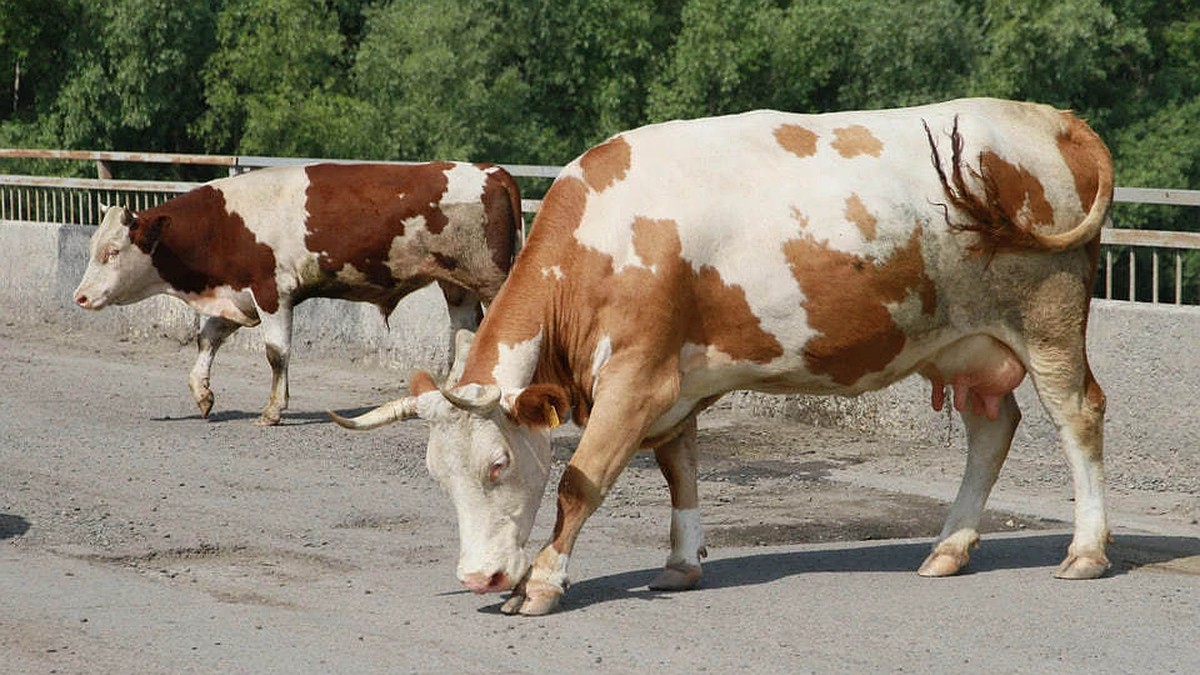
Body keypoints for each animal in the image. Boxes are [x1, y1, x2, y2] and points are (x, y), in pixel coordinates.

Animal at [75, 160, 520, 422]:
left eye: (112, 251)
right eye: (93, 245)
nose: (80, 296)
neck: (225, 223)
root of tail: (492, 171)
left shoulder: (272, 292)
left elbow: (277, 354)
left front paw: (273, 409)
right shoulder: (238, 296)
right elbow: (207, 339)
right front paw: (202, 393)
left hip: (491, 279)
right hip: (457, 285)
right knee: (466, 336)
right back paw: (457, 396)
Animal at [331, 96, 1113, 614]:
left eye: (497, 464)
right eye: (437, 475)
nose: (479, 578)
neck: (601, 240)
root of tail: (1046, 115)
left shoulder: (637, 378)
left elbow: (582, 480)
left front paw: (544, 580)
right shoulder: (674, 381)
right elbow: (680, 468)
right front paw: (679, 565)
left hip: (1047, 317)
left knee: (1078, 416)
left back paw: (1085, 550)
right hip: (964, 343)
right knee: (992, 427)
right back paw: (949, 547)